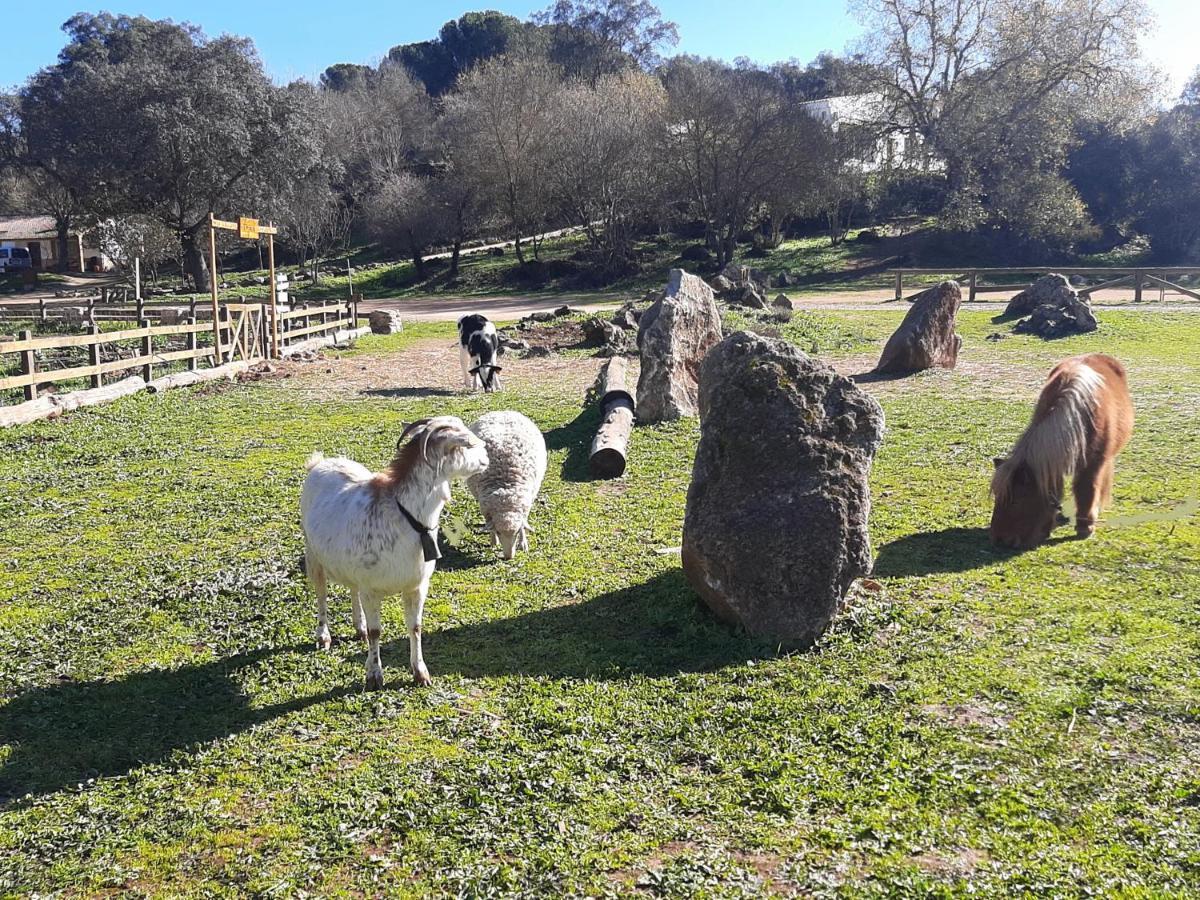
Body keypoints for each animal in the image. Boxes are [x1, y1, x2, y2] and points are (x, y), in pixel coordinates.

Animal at [300, 417, 487, 691]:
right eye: (468, 443)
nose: (487, 456)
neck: (406, 517)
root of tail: (319, 463)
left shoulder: (416, 586)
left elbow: (416, 626)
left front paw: (420, 673)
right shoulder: (371, 589)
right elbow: (377, 632)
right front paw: (374, 676)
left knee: (351, 590)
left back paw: (359, 627)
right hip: (313, 556)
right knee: (322, 595)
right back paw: (323, 636)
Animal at [463, 415, 549, 556]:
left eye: (517, 532)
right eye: (498, 532)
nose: (509, 557)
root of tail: (500, 412)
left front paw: (523, 543)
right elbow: (490, 525)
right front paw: (494, 541)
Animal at [993, 355, 1132, 549]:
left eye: (1015, 501)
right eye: (997, 498)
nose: (1000, 540)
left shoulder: (1093, 464)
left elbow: (1086, 489)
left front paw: (1085, 527)